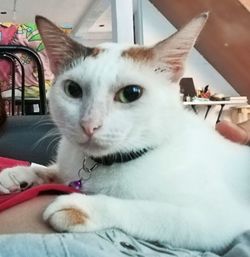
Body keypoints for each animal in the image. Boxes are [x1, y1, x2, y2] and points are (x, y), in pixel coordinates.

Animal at [0, 13, 250, 251]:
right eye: (72, 89)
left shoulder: (215, 218)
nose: (89, 124)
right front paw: (19, 174)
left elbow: (148, 211)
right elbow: (54, 170)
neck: (107, 163)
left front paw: (82, 208)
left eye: (131, 93)